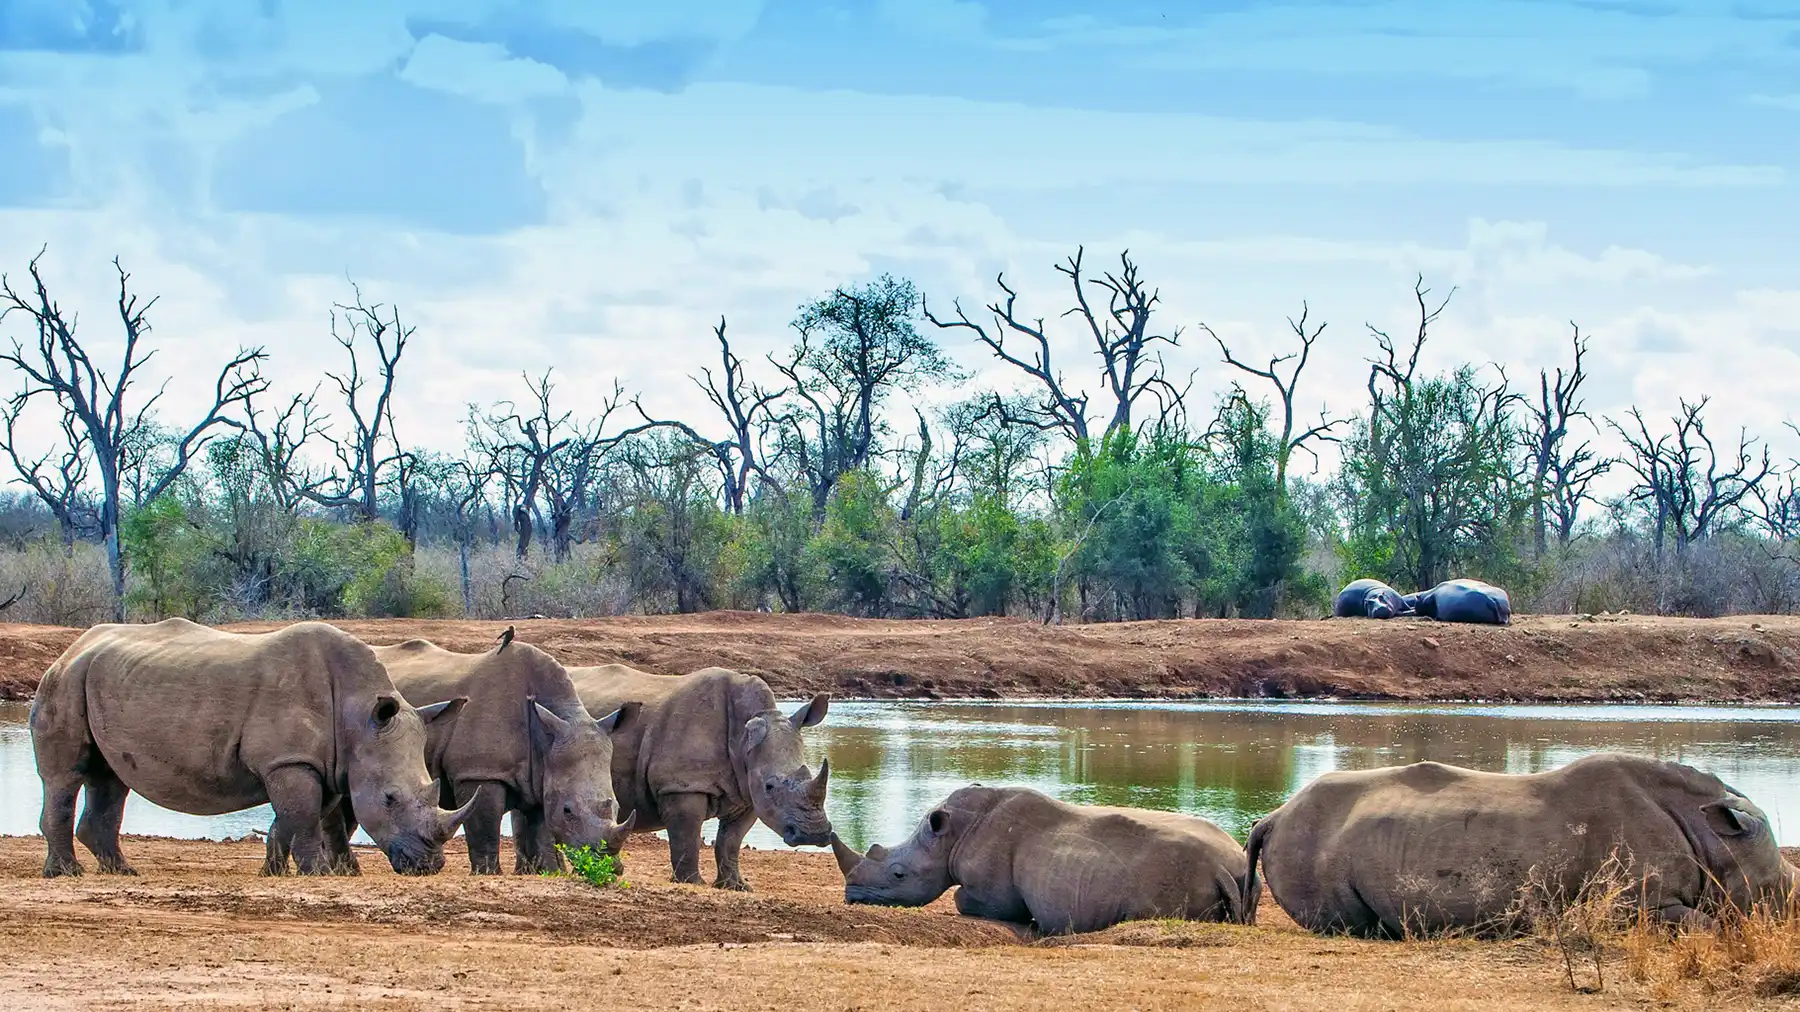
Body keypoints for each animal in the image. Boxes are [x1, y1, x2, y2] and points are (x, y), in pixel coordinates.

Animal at [30, 618, 476, 878]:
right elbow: (304, 815)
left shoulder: (320, 763)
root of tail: (70, 649)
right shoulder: (290, 761)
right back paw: (67, 873)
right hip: (64, 682)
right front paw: (317, 874)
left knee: (110, 778)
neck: (358, 715)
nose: (430, 866)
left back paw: (122, 871)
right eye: (389, 799)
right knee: (65, 777)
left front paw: (273, 873)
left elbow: (295, 816)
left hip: (97, 680)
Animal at [327, 635, 642, 876]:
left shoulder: (541, 771)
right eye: (569, 811)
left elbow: (539, 826)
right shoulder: (479, 771)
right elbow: (485, 824)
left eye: (616, 807)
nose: (611, 868)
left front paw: (546, 872)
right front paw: (489, 873)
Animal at [564, 662, 831, 891]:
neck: (742, 737)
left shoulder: (747, 792)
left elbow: (730, 841)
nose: (814, 834)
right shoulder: (682, 785)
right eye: (770, 786)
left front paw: (735, 886)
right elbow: (688, 836)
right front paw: (692, 883)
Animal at [831, 785, 1254, 935]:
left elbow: (963, 899)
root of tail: (1223, 867)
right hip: (1239, 870)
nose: (852, 895)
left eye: (898, 875)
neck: (949, 837)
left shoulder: (992, 893)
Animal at [1244, 752, 1800, 938]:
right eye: (1782, 887)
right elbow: (1707, 925)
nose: (1794, 909)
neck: (1713, 834)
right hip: (1310, 838)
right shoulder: (1639, 903)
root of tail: (1273, 815)